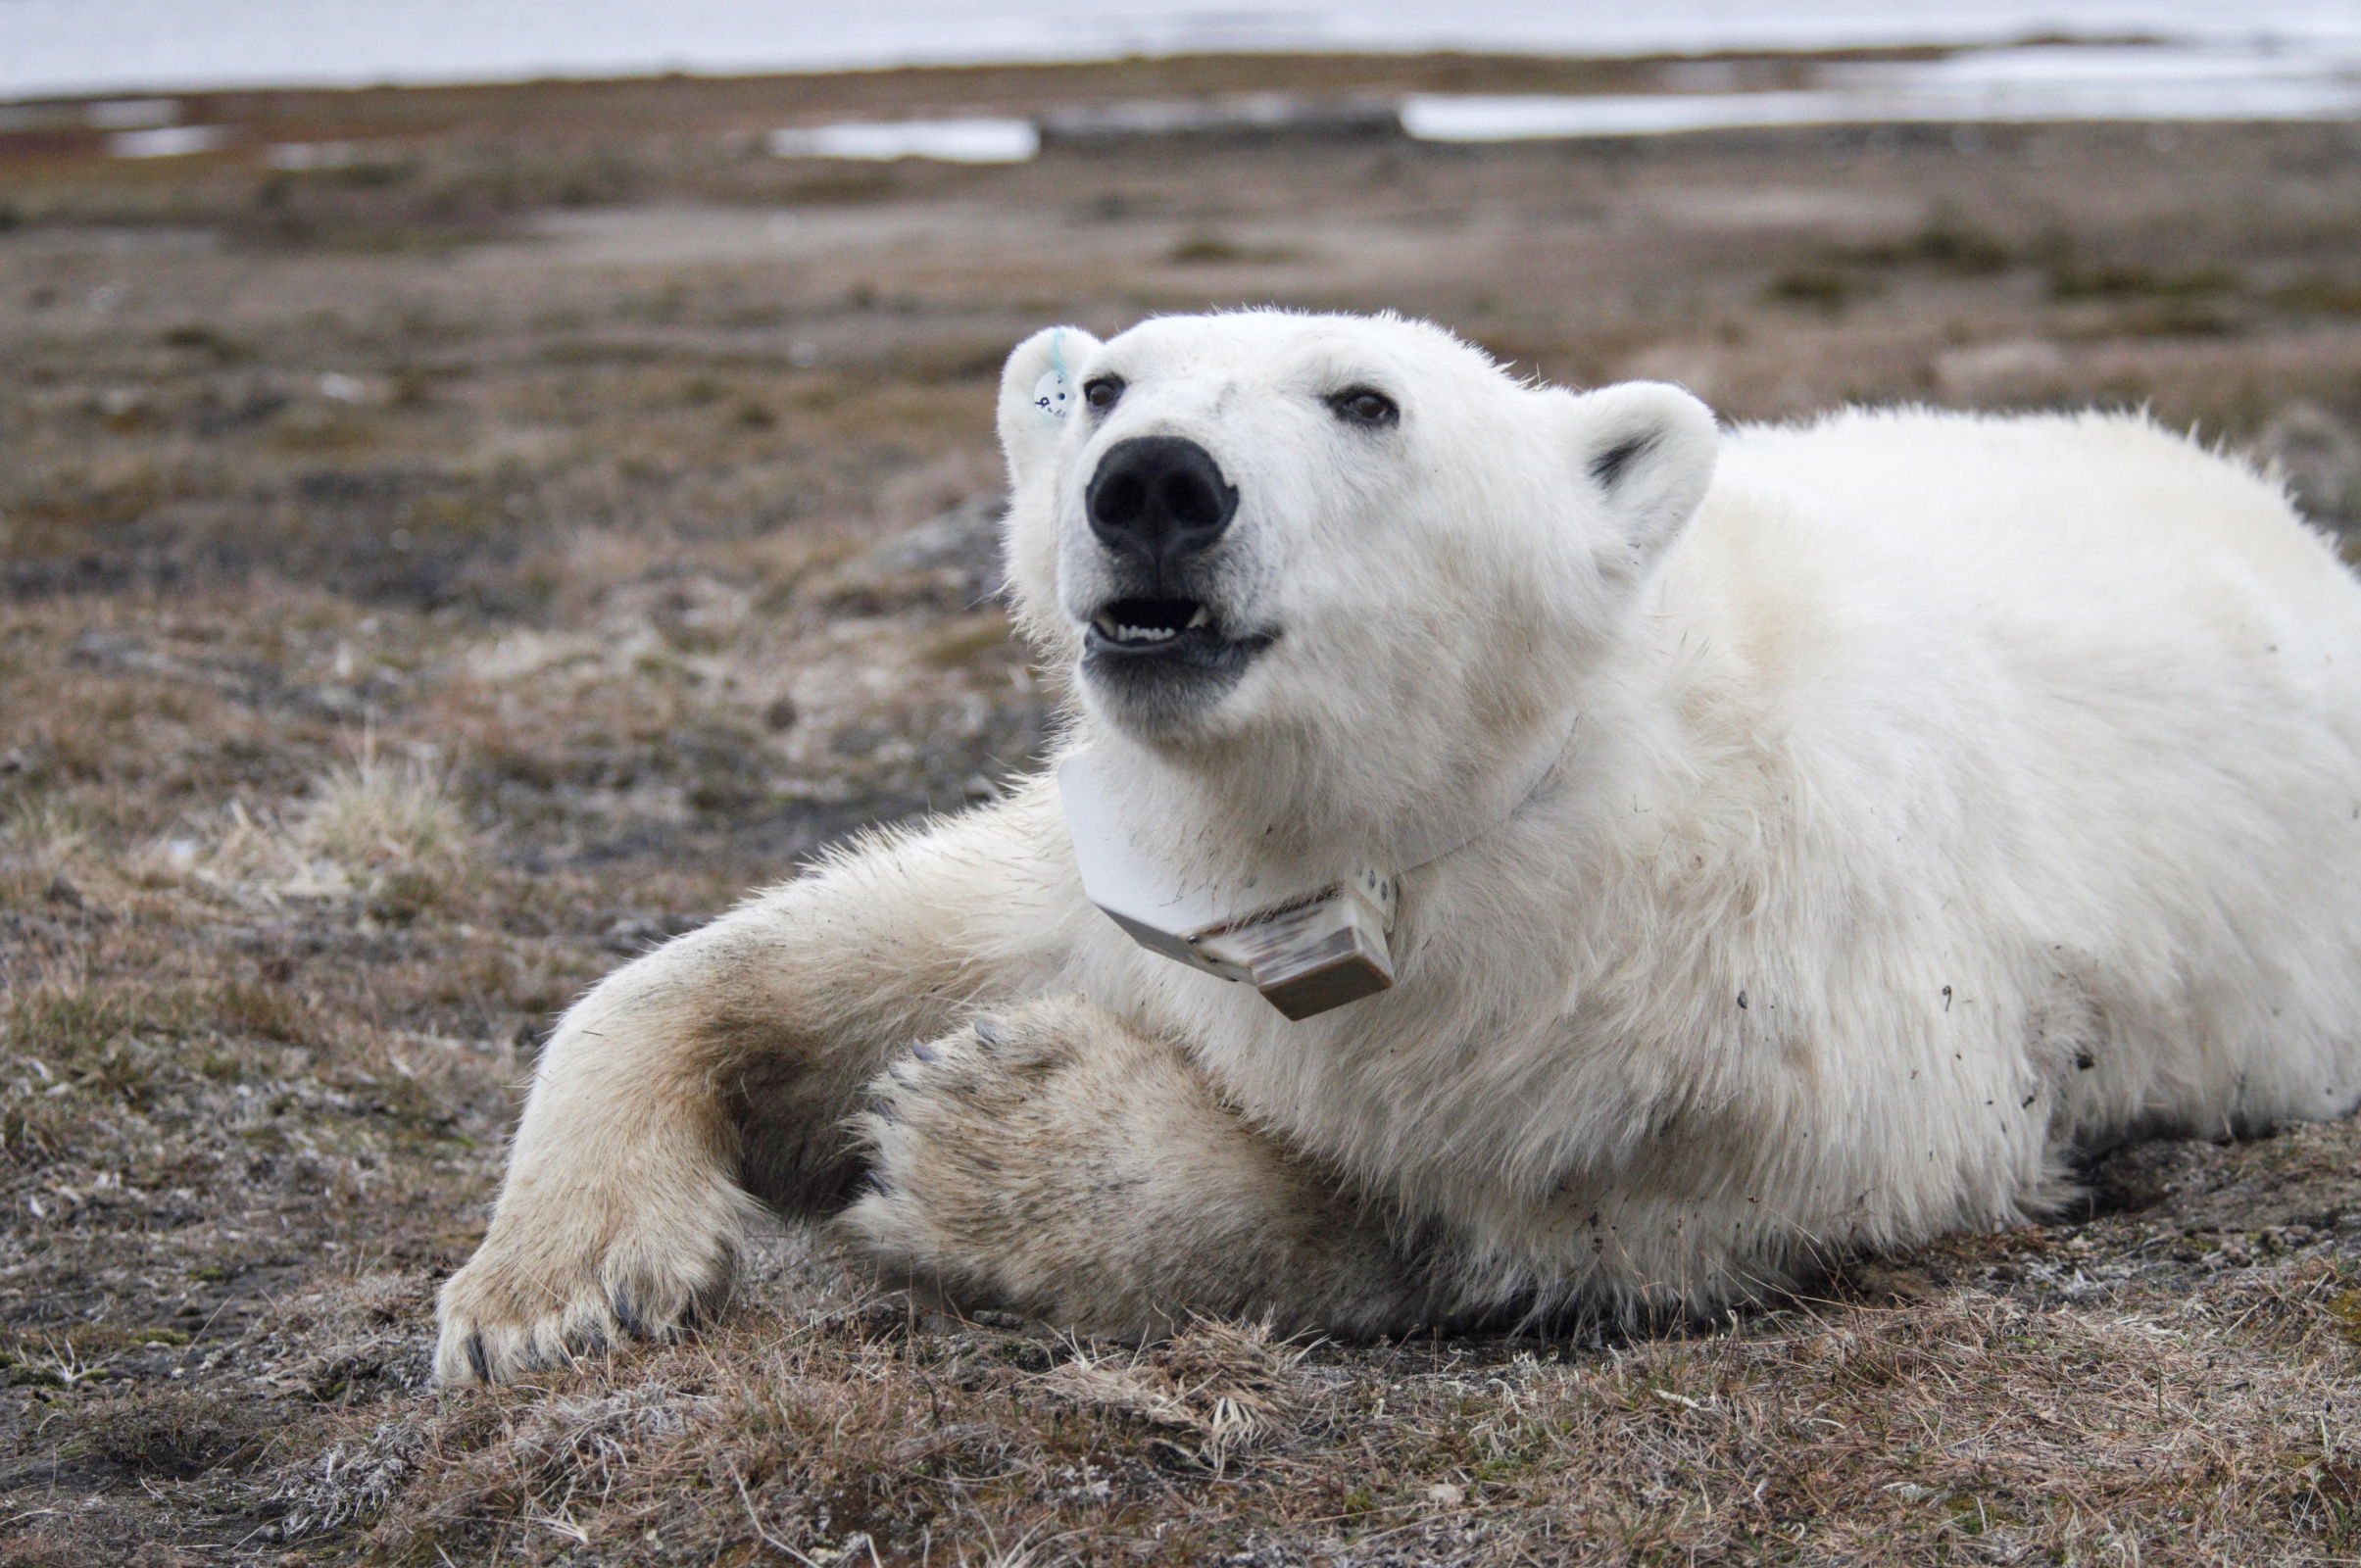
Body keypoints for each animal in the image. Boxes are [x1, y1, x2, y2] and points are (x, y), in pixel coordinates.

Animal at [434, 309, 2361, 1388]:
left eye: (1363, 401)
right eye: (1100, 385)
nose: (1154, 482)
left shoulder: (1750, 1024)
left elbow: (1494, 1208)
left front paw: (997, 1136)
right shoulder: (1130, 877)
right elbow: (833, 944)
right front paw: (548, 1283)